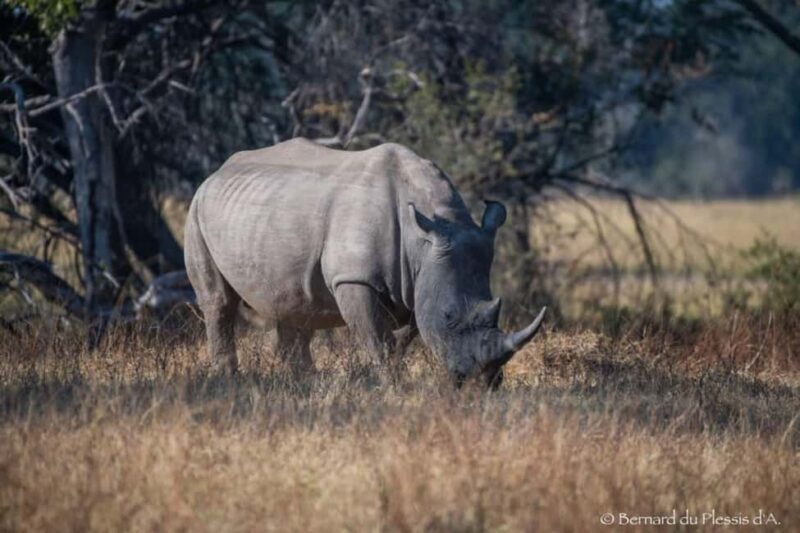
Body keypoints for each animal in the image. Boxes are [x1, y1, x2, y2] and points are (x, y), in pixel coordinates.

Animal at [184, 138, 545, 386]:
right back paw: (229, 379)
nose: (482, 382)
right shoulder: (354, 278)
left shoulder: (418, 281)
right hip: (196, 210)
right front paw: (391, 386)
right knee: (218, 302)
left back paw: (306, 381)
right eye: (449, 317)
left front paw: (396, 373)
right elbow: (376, 339)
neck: (423, 239)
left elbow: (402, 338)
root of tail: (217, 172)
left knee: (294, 304)